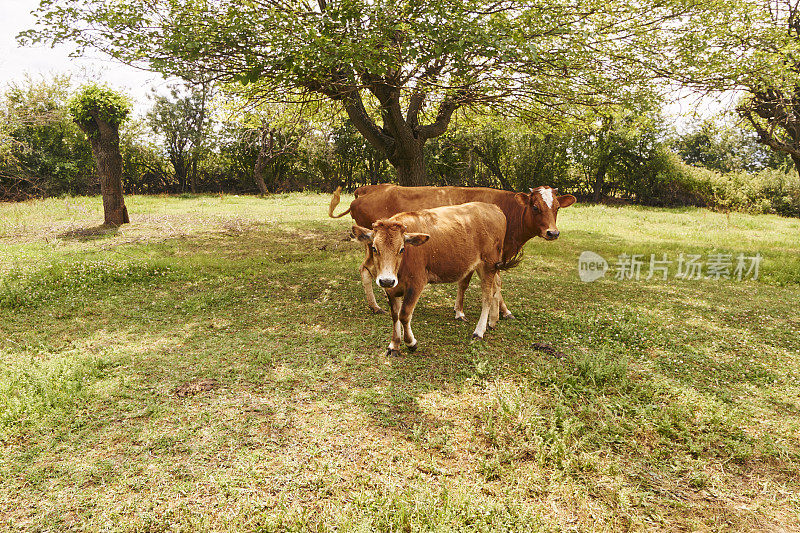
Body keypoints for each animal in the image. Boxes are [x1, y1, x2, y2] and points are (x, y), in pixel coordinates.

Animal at [328, 185, 580, 316]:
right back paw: (376, 305)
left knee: (366, 269)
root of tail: (366, 190)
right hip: (373, 247)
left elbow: (470, 282)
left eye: (557, 207)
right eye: (535, 207)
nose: (553, 233)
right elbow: (493, 283)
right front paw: (499, 312)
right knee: (366, 270)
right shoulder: (489, 256)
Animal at [352, 201, 506, 354]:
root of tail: (495, 208)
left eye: (402, 249)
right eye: (374, 248)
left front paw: (411, 343)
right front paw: (394, 344)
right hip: (486, 266)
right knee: (496, 286)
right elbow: (395, 315)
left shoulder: (416, 283)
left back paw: (479, 331)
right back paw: (493, 321)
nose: (386, 280)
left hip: (489, 264)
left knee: (487, 297)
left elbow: (404, 314)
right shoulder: (391, 288)